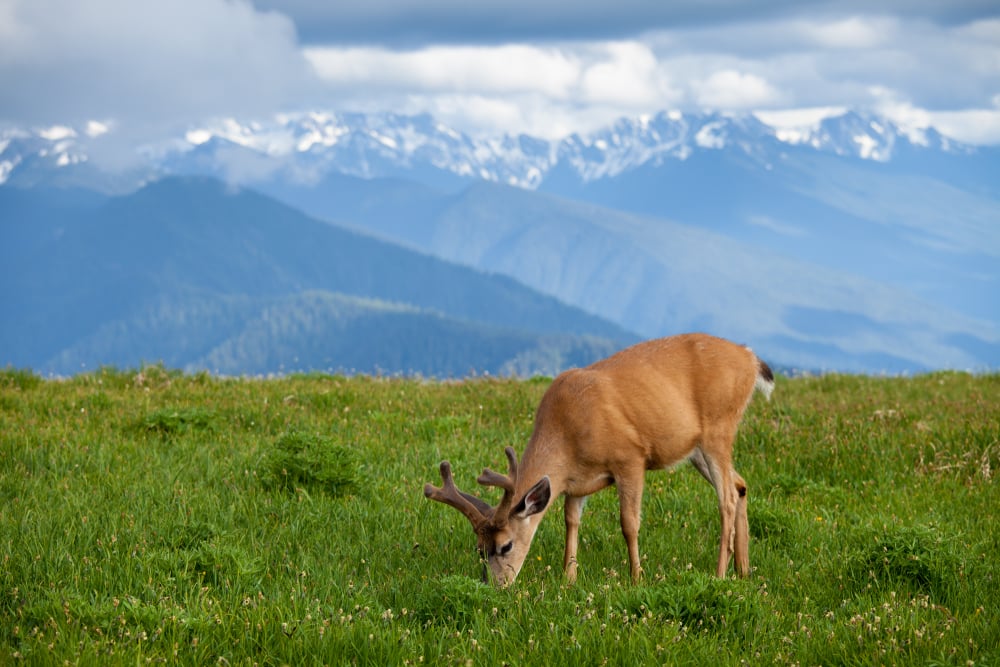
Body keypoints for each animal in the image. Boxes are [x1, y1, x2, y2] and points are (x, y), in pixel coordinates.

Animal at [424, 333, 774, 586]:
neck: (566, 433)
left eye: (505, 545)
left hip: (719, 427)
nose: (494, 586)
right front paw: (569, 578)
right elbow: (571, 521)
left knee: (727, 497)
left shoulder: (629, 457)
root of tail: (751, 357)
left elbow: (628, 523)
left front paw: (636, 577)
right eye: (479, 549)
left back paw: (720, 573)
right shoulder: (575, 482)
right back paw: (744, 569)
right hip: (697, 449)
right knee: (740, 484)